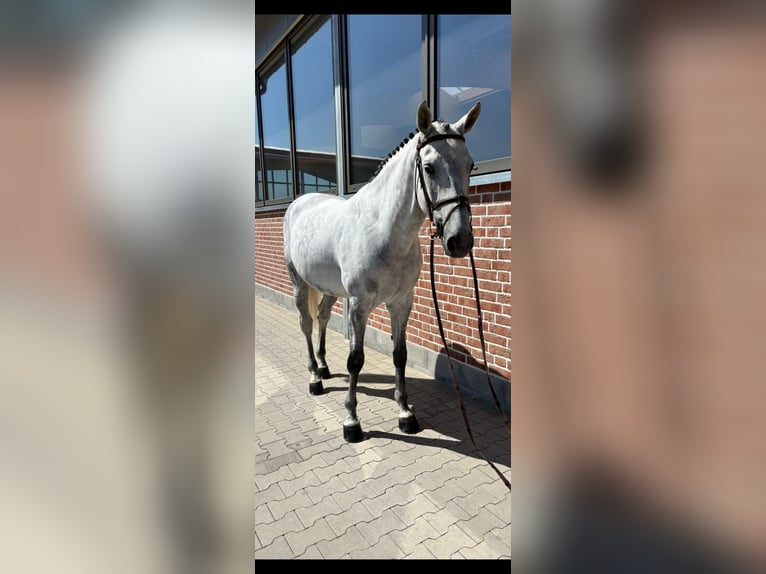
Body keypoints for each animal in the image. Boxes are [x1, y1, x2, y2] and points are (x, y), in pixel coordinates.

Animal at [283, 100, 481, 442]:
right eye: (429, 167)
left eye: (470, 166)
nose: (459, 241)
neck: (383, 230)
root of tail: (299, 202)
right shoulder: (359, 305)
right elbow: (355, 359)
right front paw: (352, 422)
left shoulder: (402, 302)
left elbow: (399, 355)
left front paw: (406, 414)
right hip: (298, 282)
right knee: (306, 324)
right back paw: (314, 379)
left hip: (329, 289)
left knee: (322, 317)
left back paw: (323, 367)